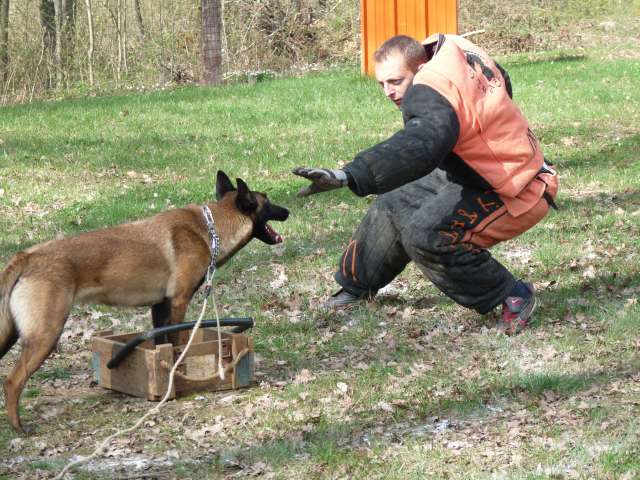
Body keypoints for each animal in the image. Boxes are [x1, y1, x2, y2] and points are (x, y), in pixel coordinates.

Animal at [0, 171, 290, 434]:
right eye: (268, 201)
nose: (287, 211)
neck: (210, 228)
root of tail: (27, 257)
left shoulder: (160, 306)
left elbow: (163, 341)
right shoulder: (179, 302)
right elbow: (178, 345)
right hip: (45, 335)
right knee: (13, 381)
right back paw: (19, 428)